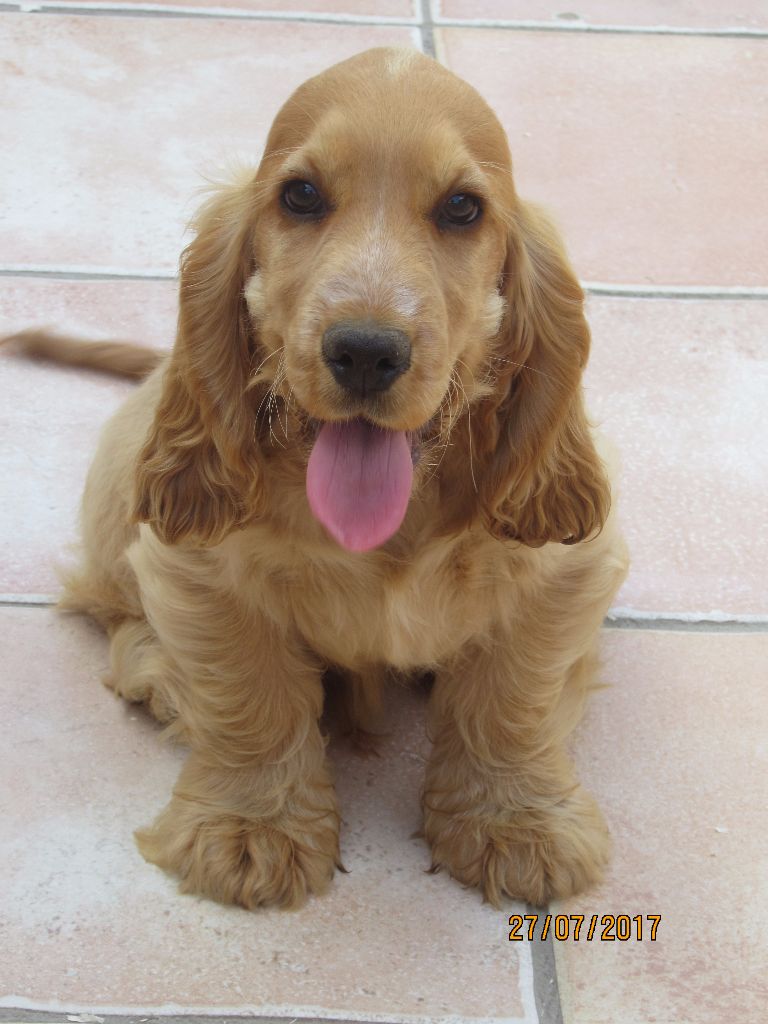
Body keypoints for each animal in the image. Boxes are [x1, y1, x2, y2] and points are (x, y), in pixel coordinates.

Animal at [6, 47, 628, 909]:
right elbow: (251, 696)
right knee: (114, 611)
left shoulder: (566, 569)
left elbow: (513, 699)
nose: (365, 350)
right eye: (300, 196)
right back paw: (160, 674)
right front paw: (250, 830)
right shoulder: (199, 567)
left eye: (463, 208)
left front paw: (516, 824)